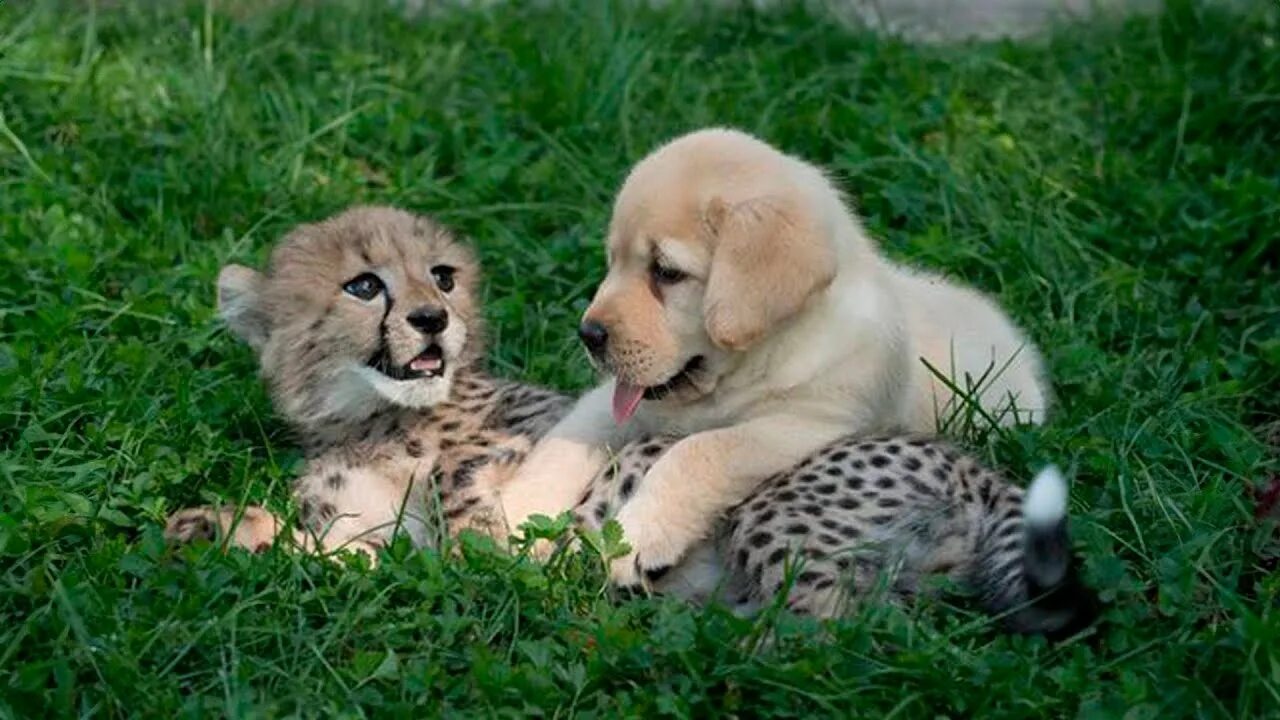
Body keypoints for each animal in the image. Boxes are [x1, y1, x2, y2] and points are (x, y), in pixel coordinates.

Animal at [494, 128, 1044, 586]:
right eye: (613, 262)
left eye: (666, 272)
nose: (588, 334)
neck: (751, 364)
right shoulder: (625, 401)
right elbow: (567, 439)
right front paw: (513, 513)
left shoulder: (809, 426)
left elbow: (701, 451)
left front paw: (640, 536)